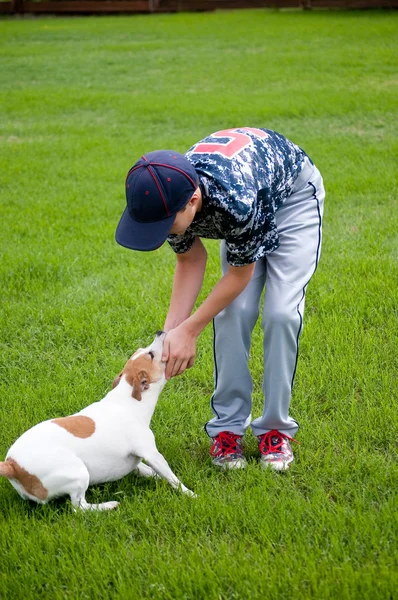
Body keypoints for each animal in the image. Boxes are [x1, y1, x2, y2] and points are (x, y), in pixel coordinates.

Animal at [0, 330, 196, 508]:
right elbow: (171, 476)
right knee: (80, 508)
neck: (128, 399)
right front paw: (190, 494)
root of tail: (12, 464)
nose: (160, 331)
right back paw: (107, 506)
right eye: (151, 354)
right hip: (78, 472)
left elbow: (150, 471)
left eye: (144, 350)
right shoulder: (151, 453)